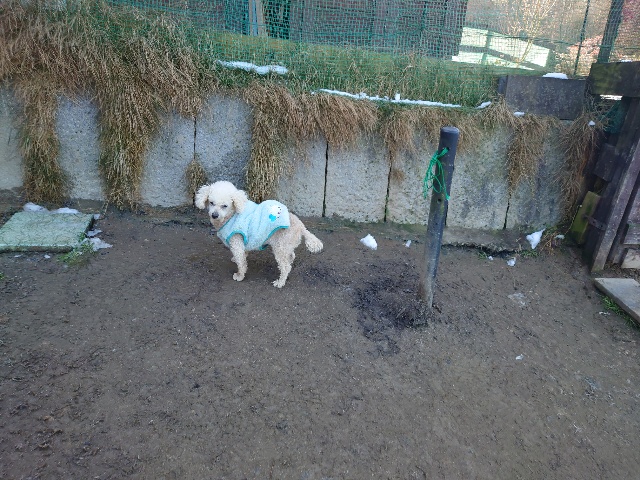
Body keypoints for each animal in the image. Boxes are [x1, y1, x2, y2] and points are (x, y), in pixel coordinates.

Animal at [195, 181, 323, 288]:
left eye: (224, 206)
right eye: (211, 203)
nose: (214, 215)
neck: (231, 215)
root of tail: (302, 227)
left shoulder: (236, 242)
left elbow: (241, 263)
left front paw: (239, 276)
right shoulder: (242, 244)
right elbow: (242, 256)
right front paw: (236, 260)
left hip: (280, 247)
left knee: (285, 267)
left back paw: (280, 282)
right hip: (285, 246)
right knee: (291, 257)